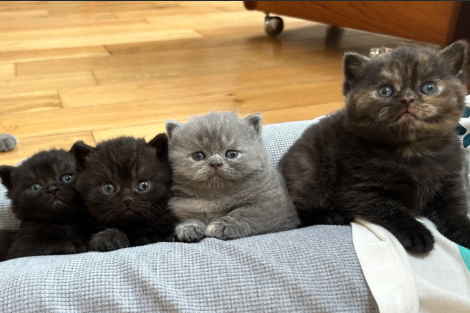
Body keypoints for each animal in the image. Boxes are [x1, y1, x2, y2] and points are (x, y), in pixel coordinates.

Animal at [165, 111, 298, 243]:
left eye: (232, 154)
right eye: (198, 156)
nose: (215, 163)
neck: (215, 197)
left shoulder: (271, 201)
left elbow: (244, 212)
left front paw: (223, 226)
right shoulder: (183, 207)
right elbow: (190, 217)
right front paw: (189, 227)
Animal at [280, 40, 470, 252]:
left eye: (429, 88)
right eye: (385, 91)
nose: (408, 99)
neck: (412, 149)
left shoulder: (450, 181)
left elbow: (455, 209)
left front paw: (465, 230)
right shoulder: (361, 190)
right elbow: (393, 210)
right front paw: (415, 232)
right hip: (308, 175)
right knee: (299, 213)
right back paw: (330, 216)